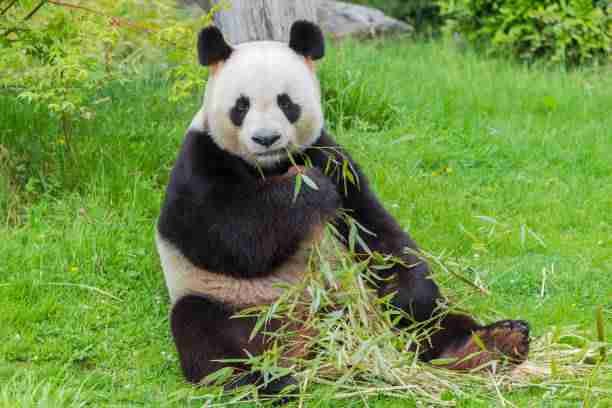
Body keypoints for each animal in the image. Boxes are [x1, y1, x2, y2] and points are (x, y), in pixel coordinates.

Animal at [157, 20, 532, 394]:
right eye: (241, 106)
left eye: (286, 103)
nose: (265, 139)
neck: (270, 166)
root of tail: (303, 343)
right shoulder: (200, 160)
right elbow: (227, 238)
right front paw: (305, 189)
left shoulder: (331, 158)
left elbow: (376, 232)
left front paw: (413, 294)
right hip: (226, 300)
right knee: (207, 336)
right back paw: (264, 380)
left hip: (346, 296)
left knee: (432, 325)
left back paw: (490, 345)